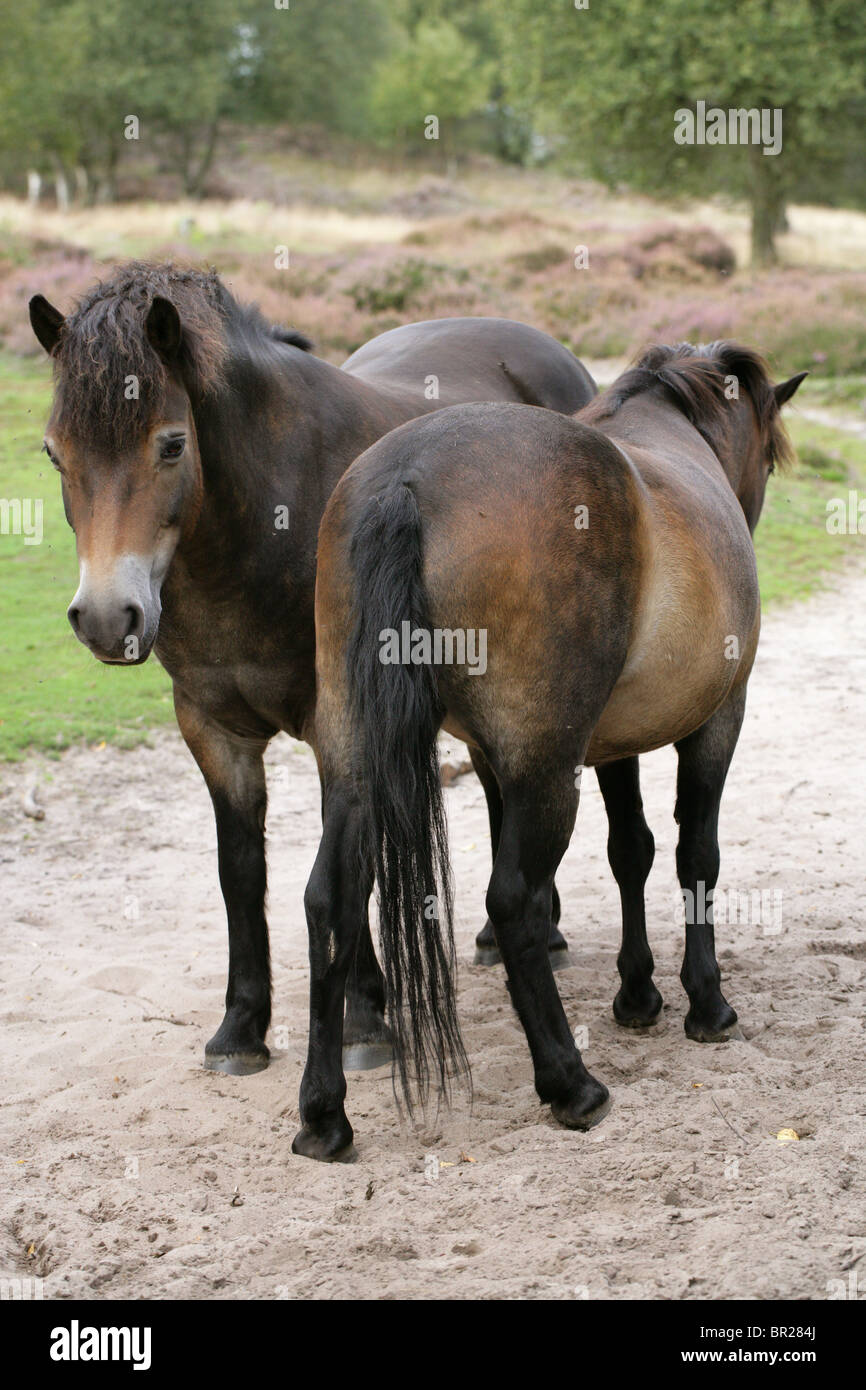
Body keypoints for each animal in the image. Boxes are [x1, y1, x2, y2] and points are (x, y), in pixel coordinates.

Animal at [28, 262, 598, 1077]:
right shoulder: (212, 731)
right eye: (54, 454)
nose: (108, 618)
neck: (266, 517)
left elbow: (348, 867)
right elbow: (240, 874)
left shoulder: (341, 725)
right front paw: (241, 1027)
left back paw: (540, 936)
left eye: (170, 445)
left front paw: (363, 1021)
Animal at [302, 340, 806, 1159]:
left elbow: (631, 851)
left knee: (331, 902)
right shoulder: (716, 720)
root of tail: (404, 481)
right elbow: (695, 855)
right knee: (513, 900)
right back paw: (572, 1084)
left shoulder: (601, 746)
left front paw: (638, 993)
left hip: (354, 766)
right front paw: (705, 1003)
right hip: (544, 775)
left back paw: (322, 1114)